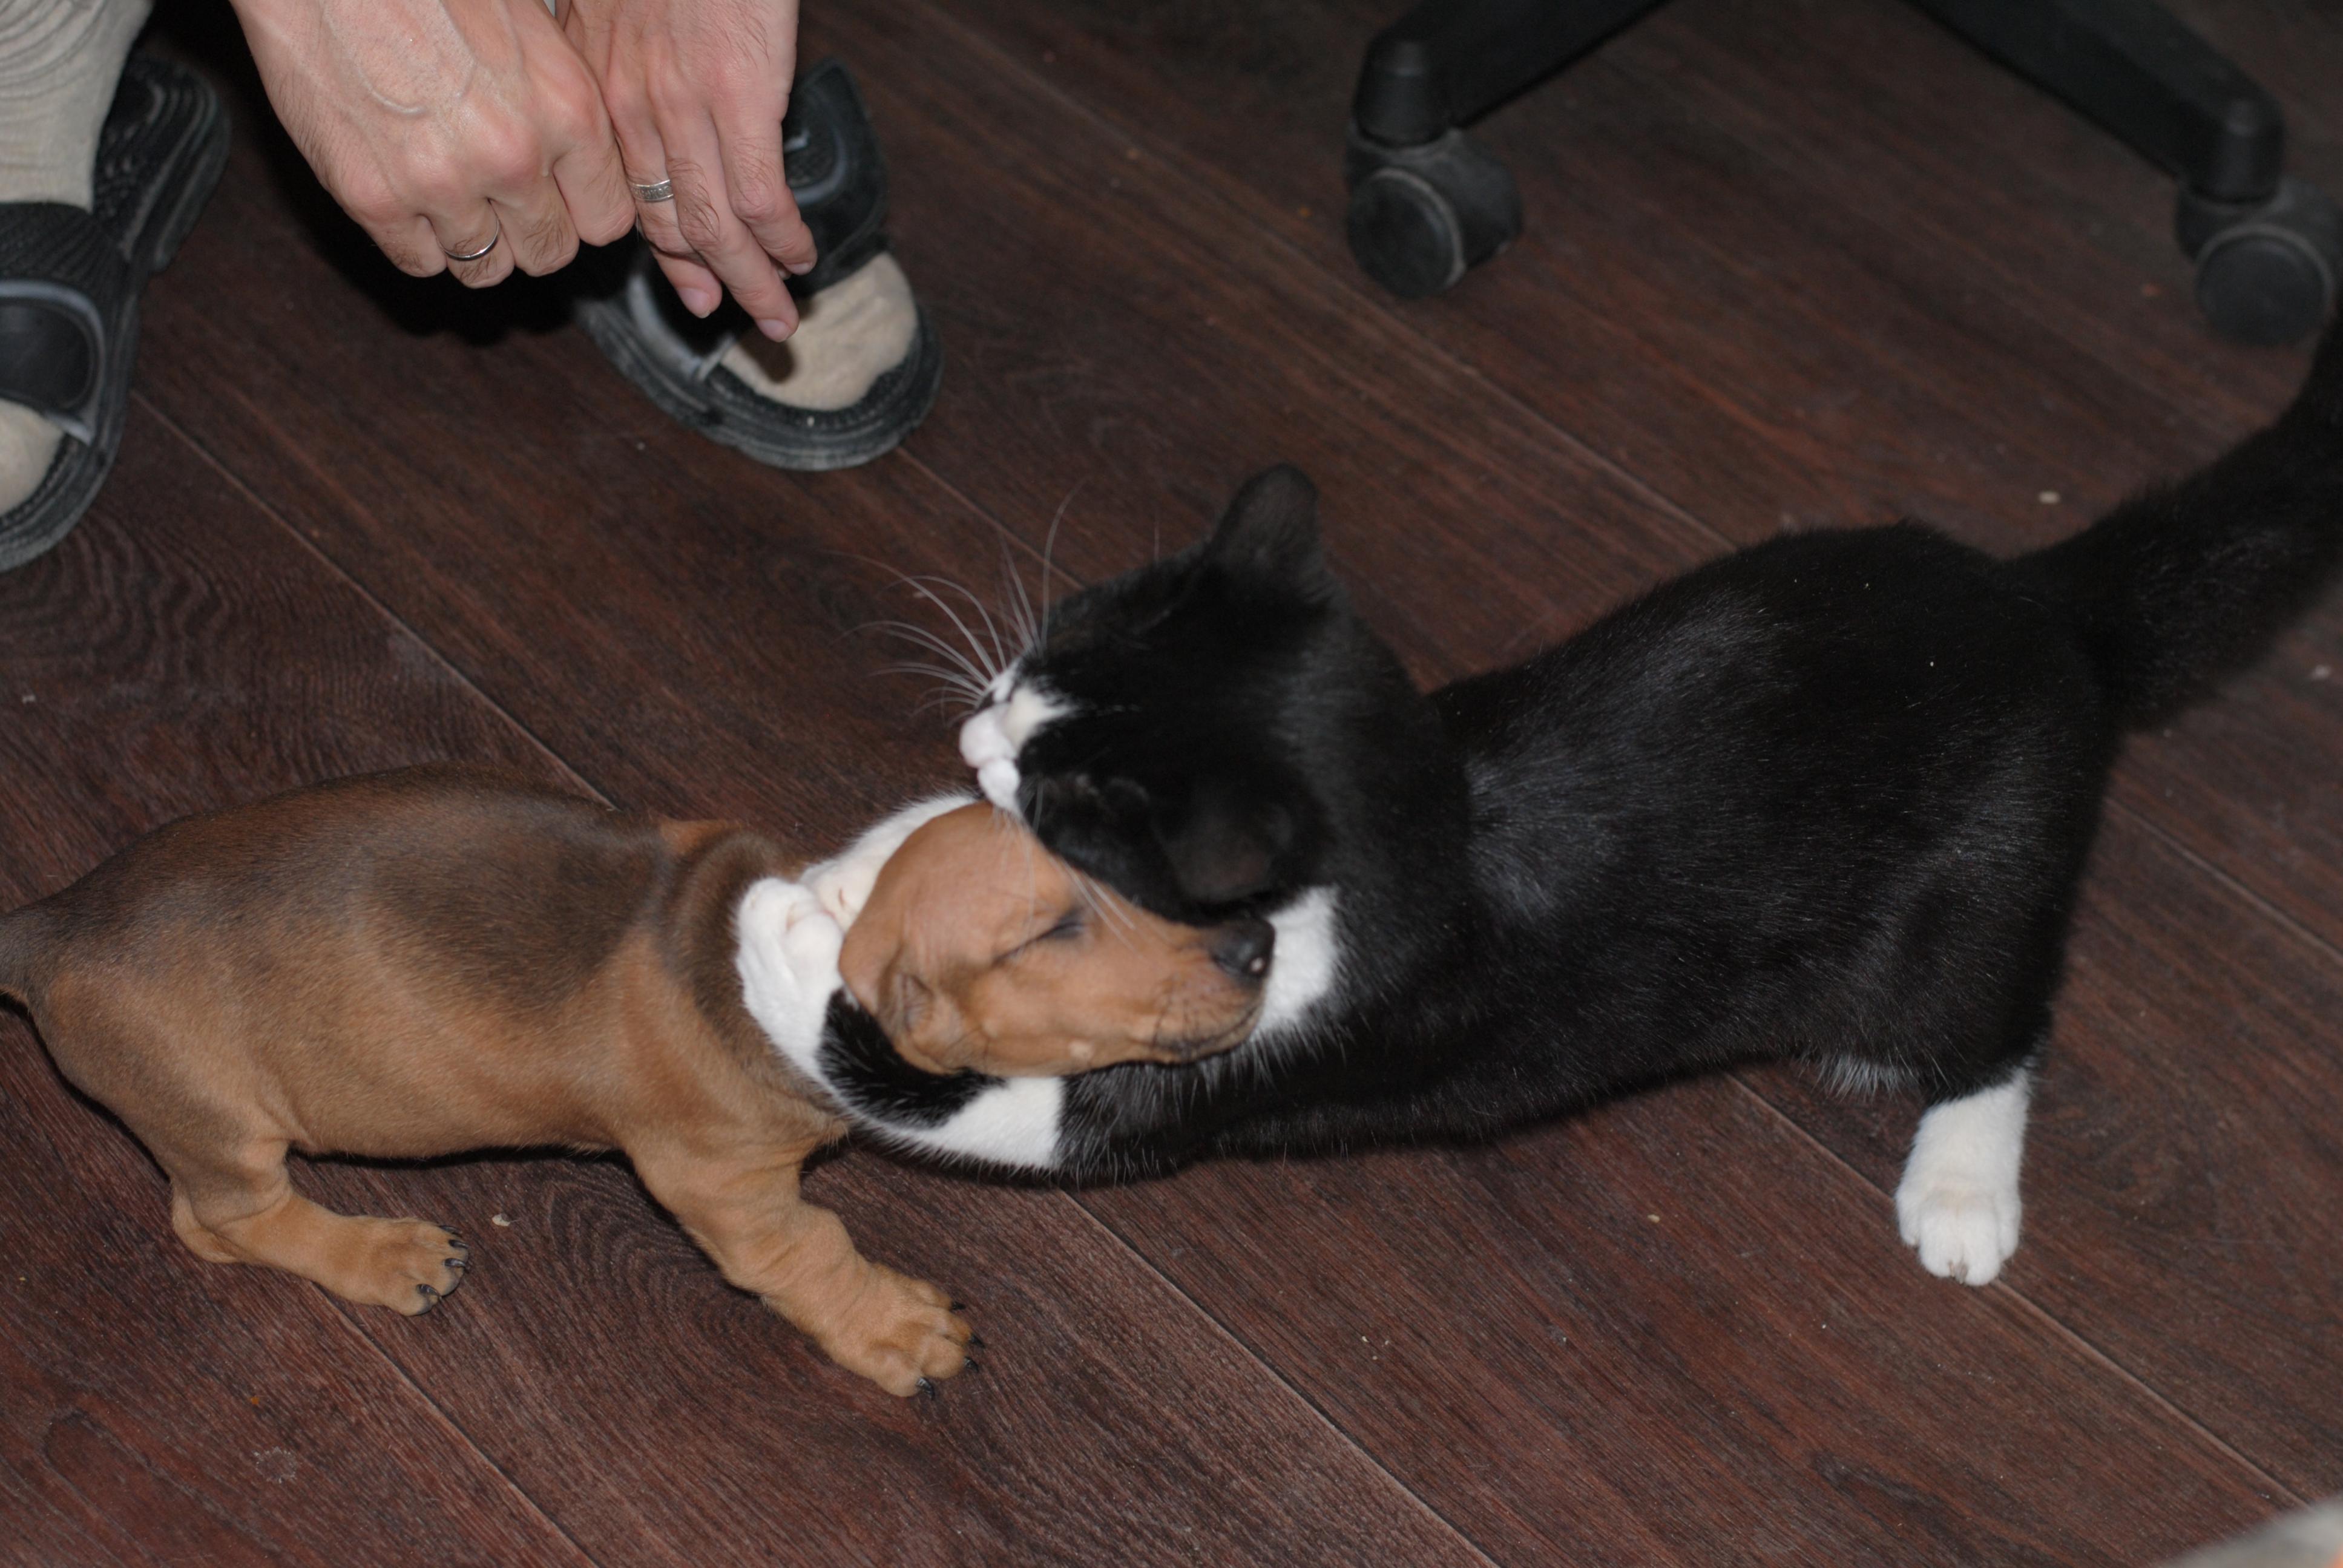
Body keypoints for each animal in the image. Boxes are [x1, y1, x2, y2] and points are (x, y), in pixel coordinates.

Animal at [0, 766, 1267, 1394]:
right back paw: (384, 1255)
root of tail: (52, 927)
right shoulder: (721, 1185)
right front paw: (894, 1329)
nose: (1258, 940)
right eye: (1050, 932)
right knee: (223, 1223)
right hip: (221, 1122)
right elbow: (810, 1254)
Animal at [800, 323, 2343, 1288]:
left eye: (1071, 797)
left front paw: (802, 956)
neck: (1429, 812)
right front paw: (854, 874)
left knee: (1996, 1012)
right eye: (1047, 650)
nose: (970, 728)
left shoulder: (1291, 1039)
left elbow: (1040, 1121)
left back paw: (1962, 1186)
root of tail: (2048, 606)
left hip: (1975, 884)